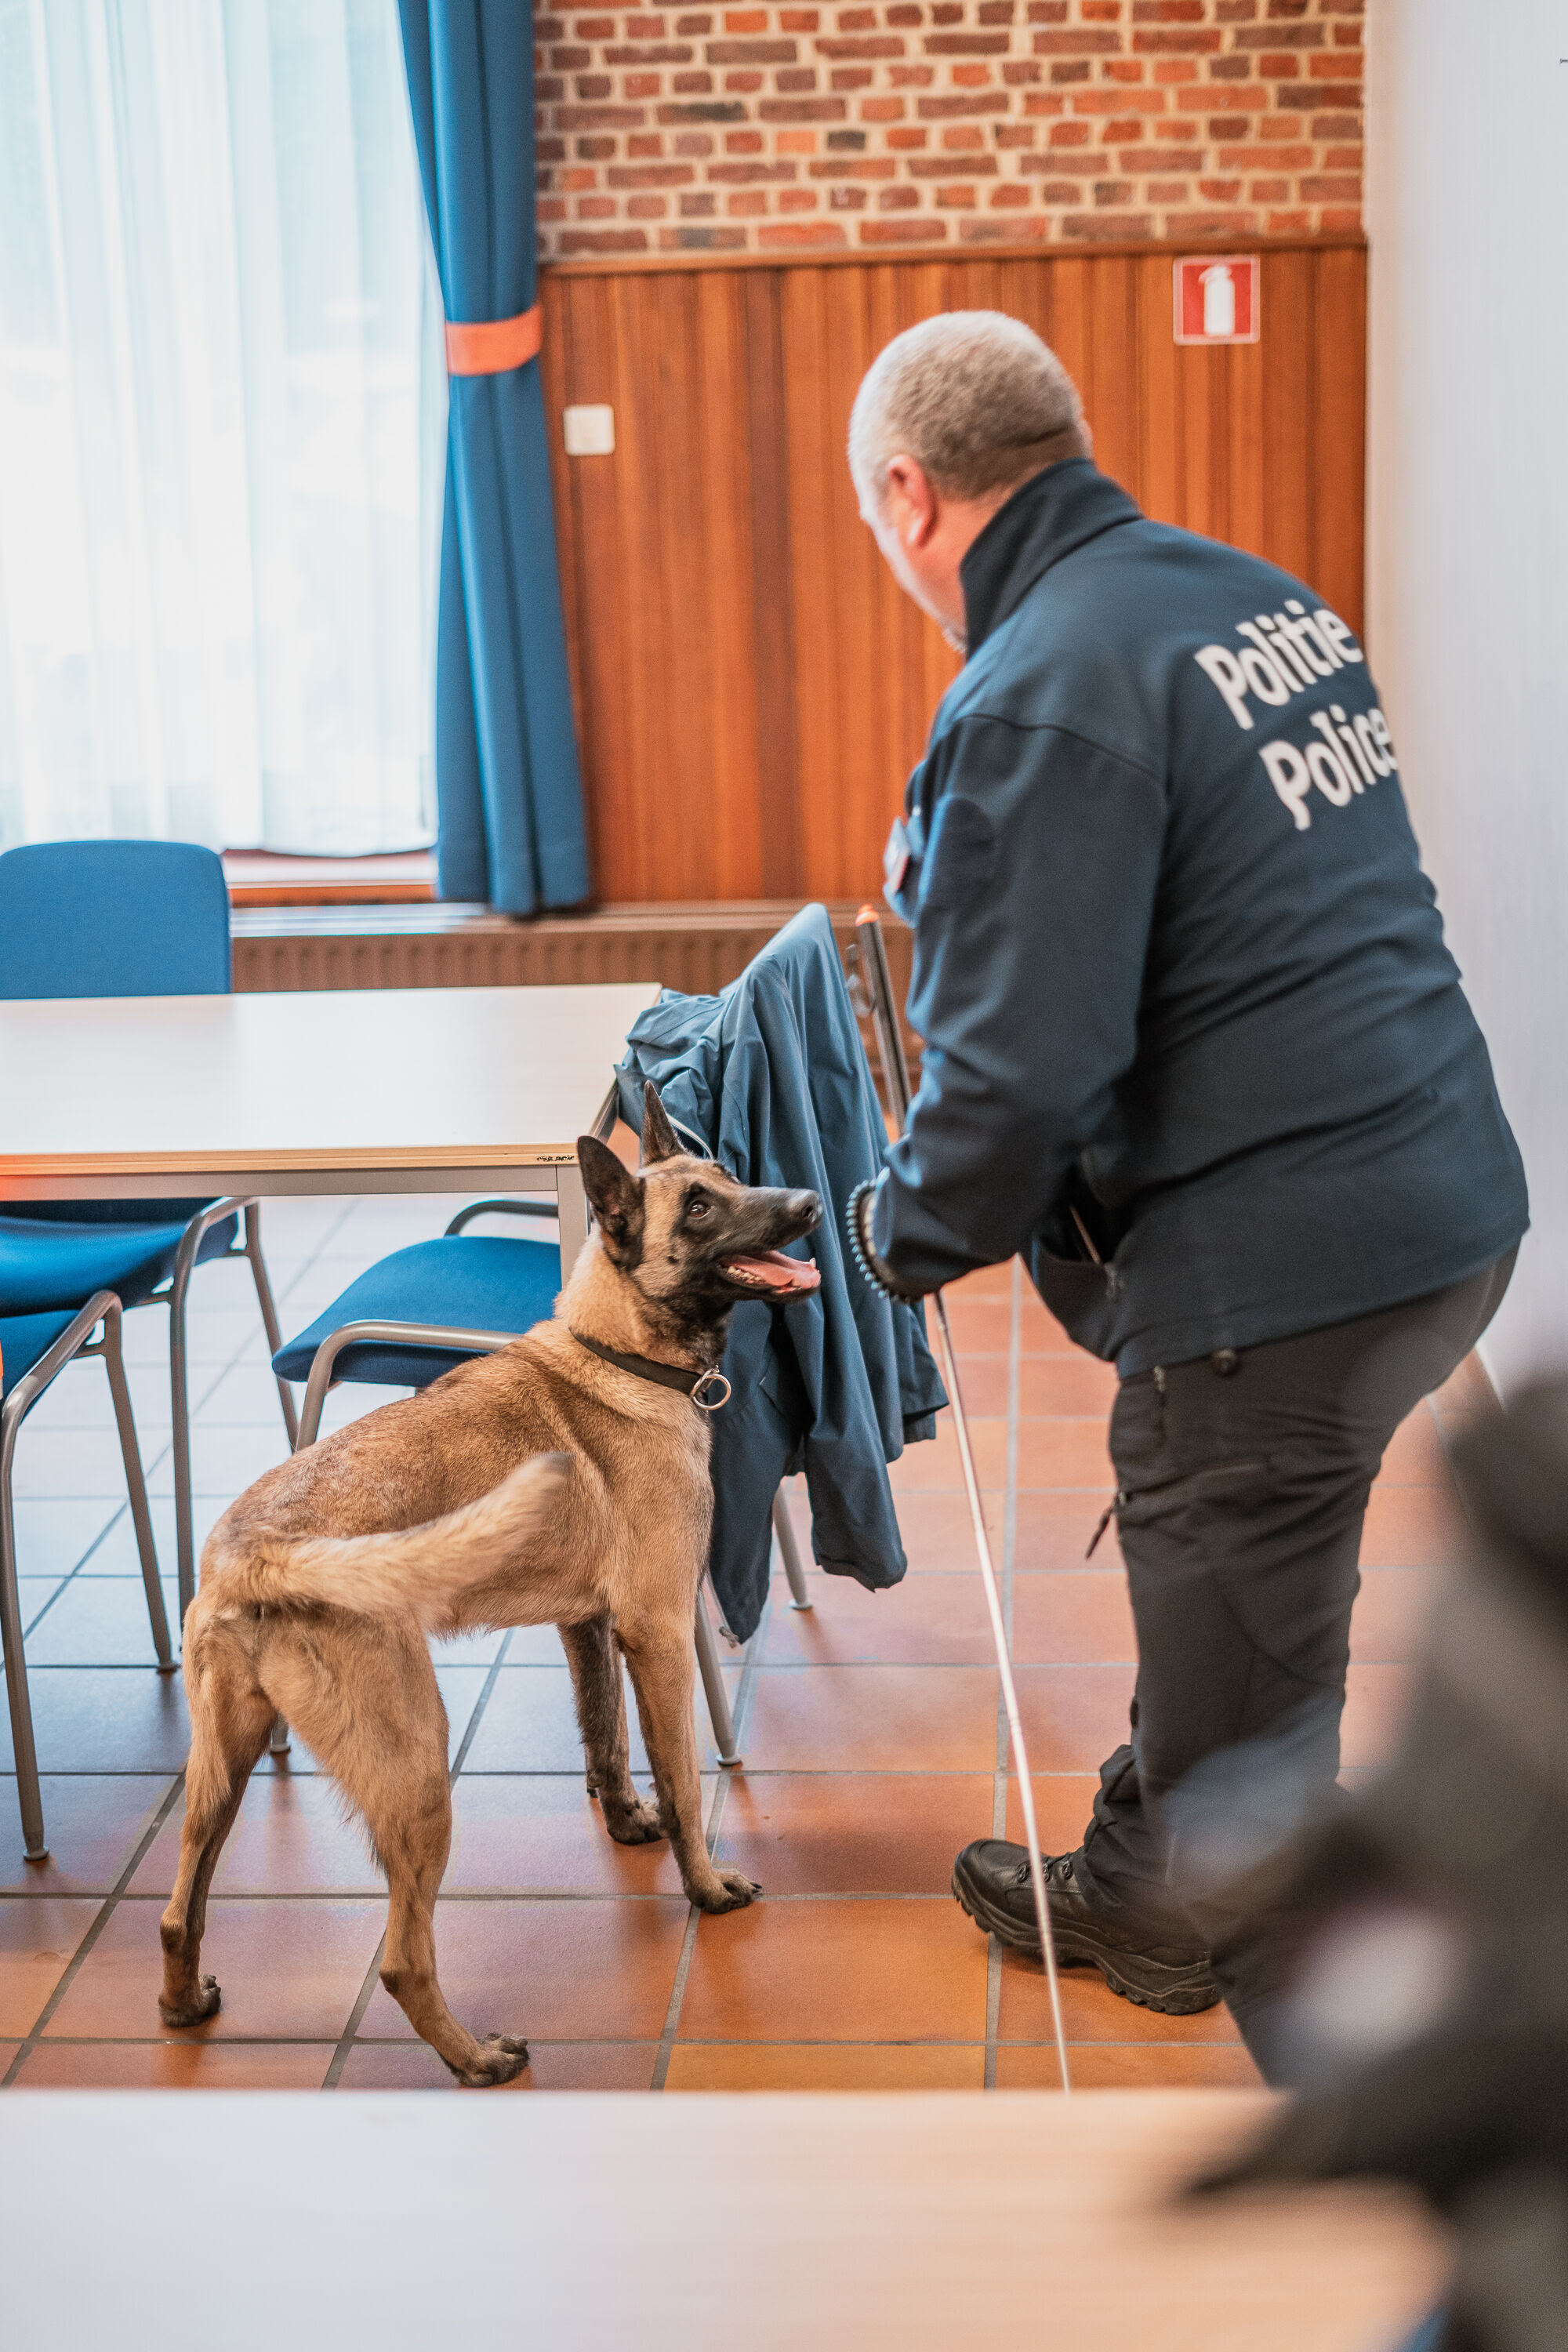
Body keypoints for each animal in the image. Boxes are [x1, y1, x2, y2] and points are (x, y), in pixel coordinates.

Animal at [156, 1082, 822, 2079]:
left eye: (731, 1172)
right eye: (700, 1207)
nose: (812, 1203)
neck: (617, 1350)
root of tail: (252, 1552)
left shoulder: (587, 1627)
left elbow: (603, 1737)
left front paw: (625, 1822)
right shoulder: (660, 1633)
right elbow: (681, 1776)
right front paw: (701, 1883)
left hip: (222, 1773)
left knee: (175, 1909)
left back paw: (183, 2002)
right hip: (417, 1772)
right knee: (401, 1960)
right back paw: (474, 2060)